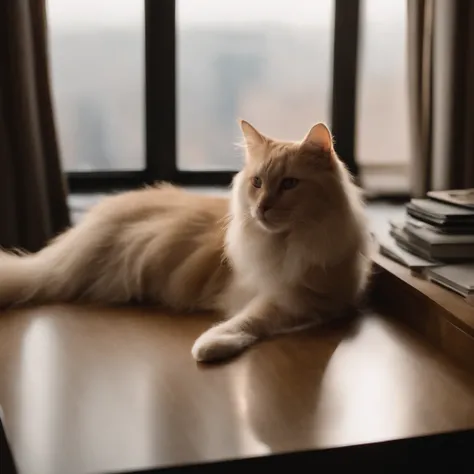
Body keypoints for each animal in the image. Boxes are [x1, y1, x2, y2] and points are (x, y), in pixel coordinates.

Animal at [0, 120, 370, 362]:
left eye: (290, 184)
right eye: (258, 183)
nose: (262, 207)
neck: (284, 243)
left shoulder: (304, 299)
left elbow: (254, 318)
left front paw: (212, 344)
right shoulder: (287, 296)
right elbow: (250, 317)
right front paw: (210, 345)